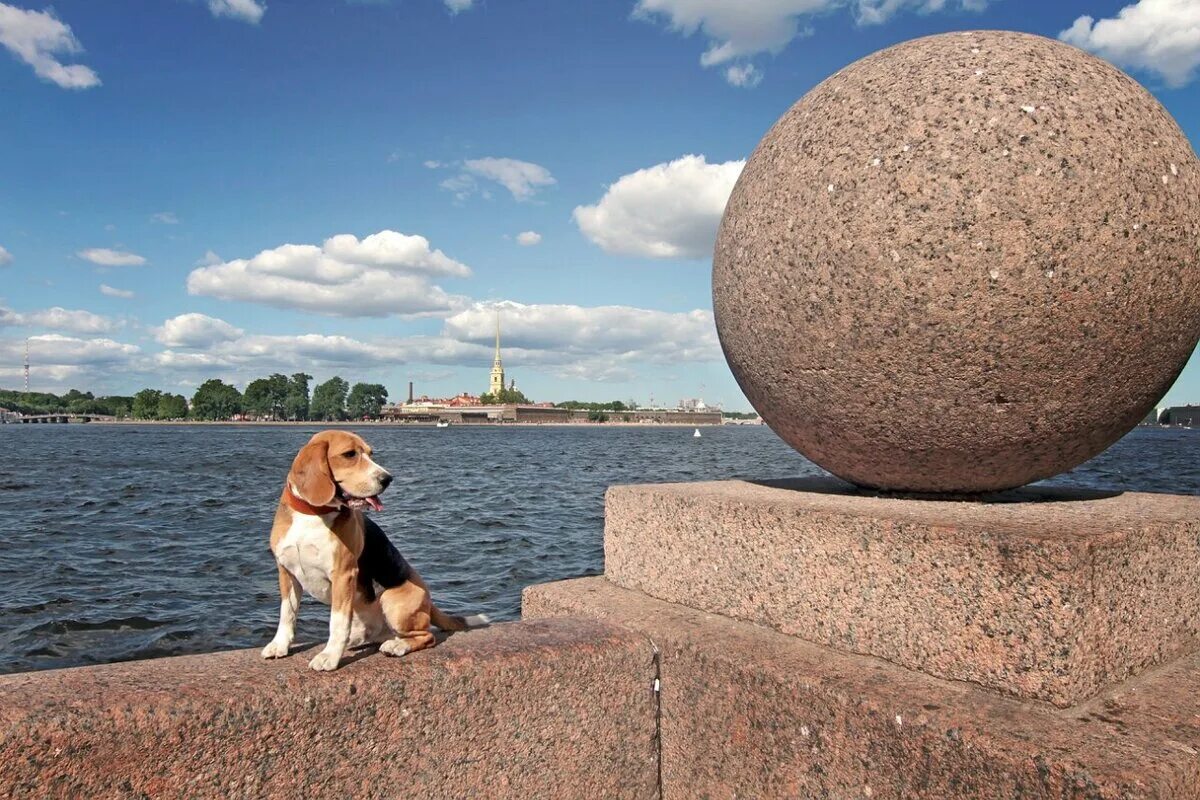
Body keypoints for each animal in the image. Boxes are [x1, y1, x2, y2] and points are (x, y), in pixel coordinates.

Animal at [265, 431, 484, 671]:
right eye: (349, 454)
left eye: (371, 454)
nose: (387, 479)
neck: (313, 514)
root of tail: (429, 600)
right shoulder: (286, 572)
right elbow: (287, 613)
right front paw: (279, 645)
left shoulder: (343, 575)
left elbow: (337, 622)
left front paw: (329, 656)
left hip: (391, 600)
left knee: (426, 636)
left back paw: (397, 646)